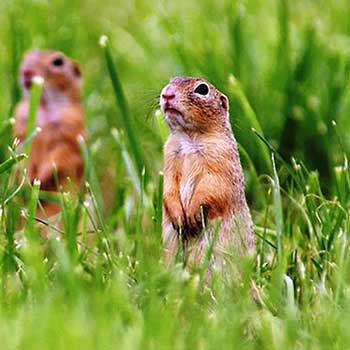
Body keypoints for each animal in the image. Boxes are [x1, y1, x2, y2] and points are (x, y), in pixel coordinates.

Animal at [13, 49, 86, 219]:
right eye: (26, 56)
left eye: (58, 62)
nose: (26, 71)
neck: (44, 106)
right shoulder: (21, 126)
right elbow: (22, 155)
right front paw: (26, 182)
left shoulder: (71, 130)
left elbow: (63, 157)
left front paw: (39, 182)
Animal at [159, 76, 254, 266]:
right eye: (171, 81)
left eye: (202, 89)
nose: (167, 94)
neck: (189, 137)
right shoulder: (169, 158)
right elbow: (168, 188)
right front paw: (178, 217)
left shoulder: (221, 160)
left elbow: (212, 187)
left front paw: (193, 215)